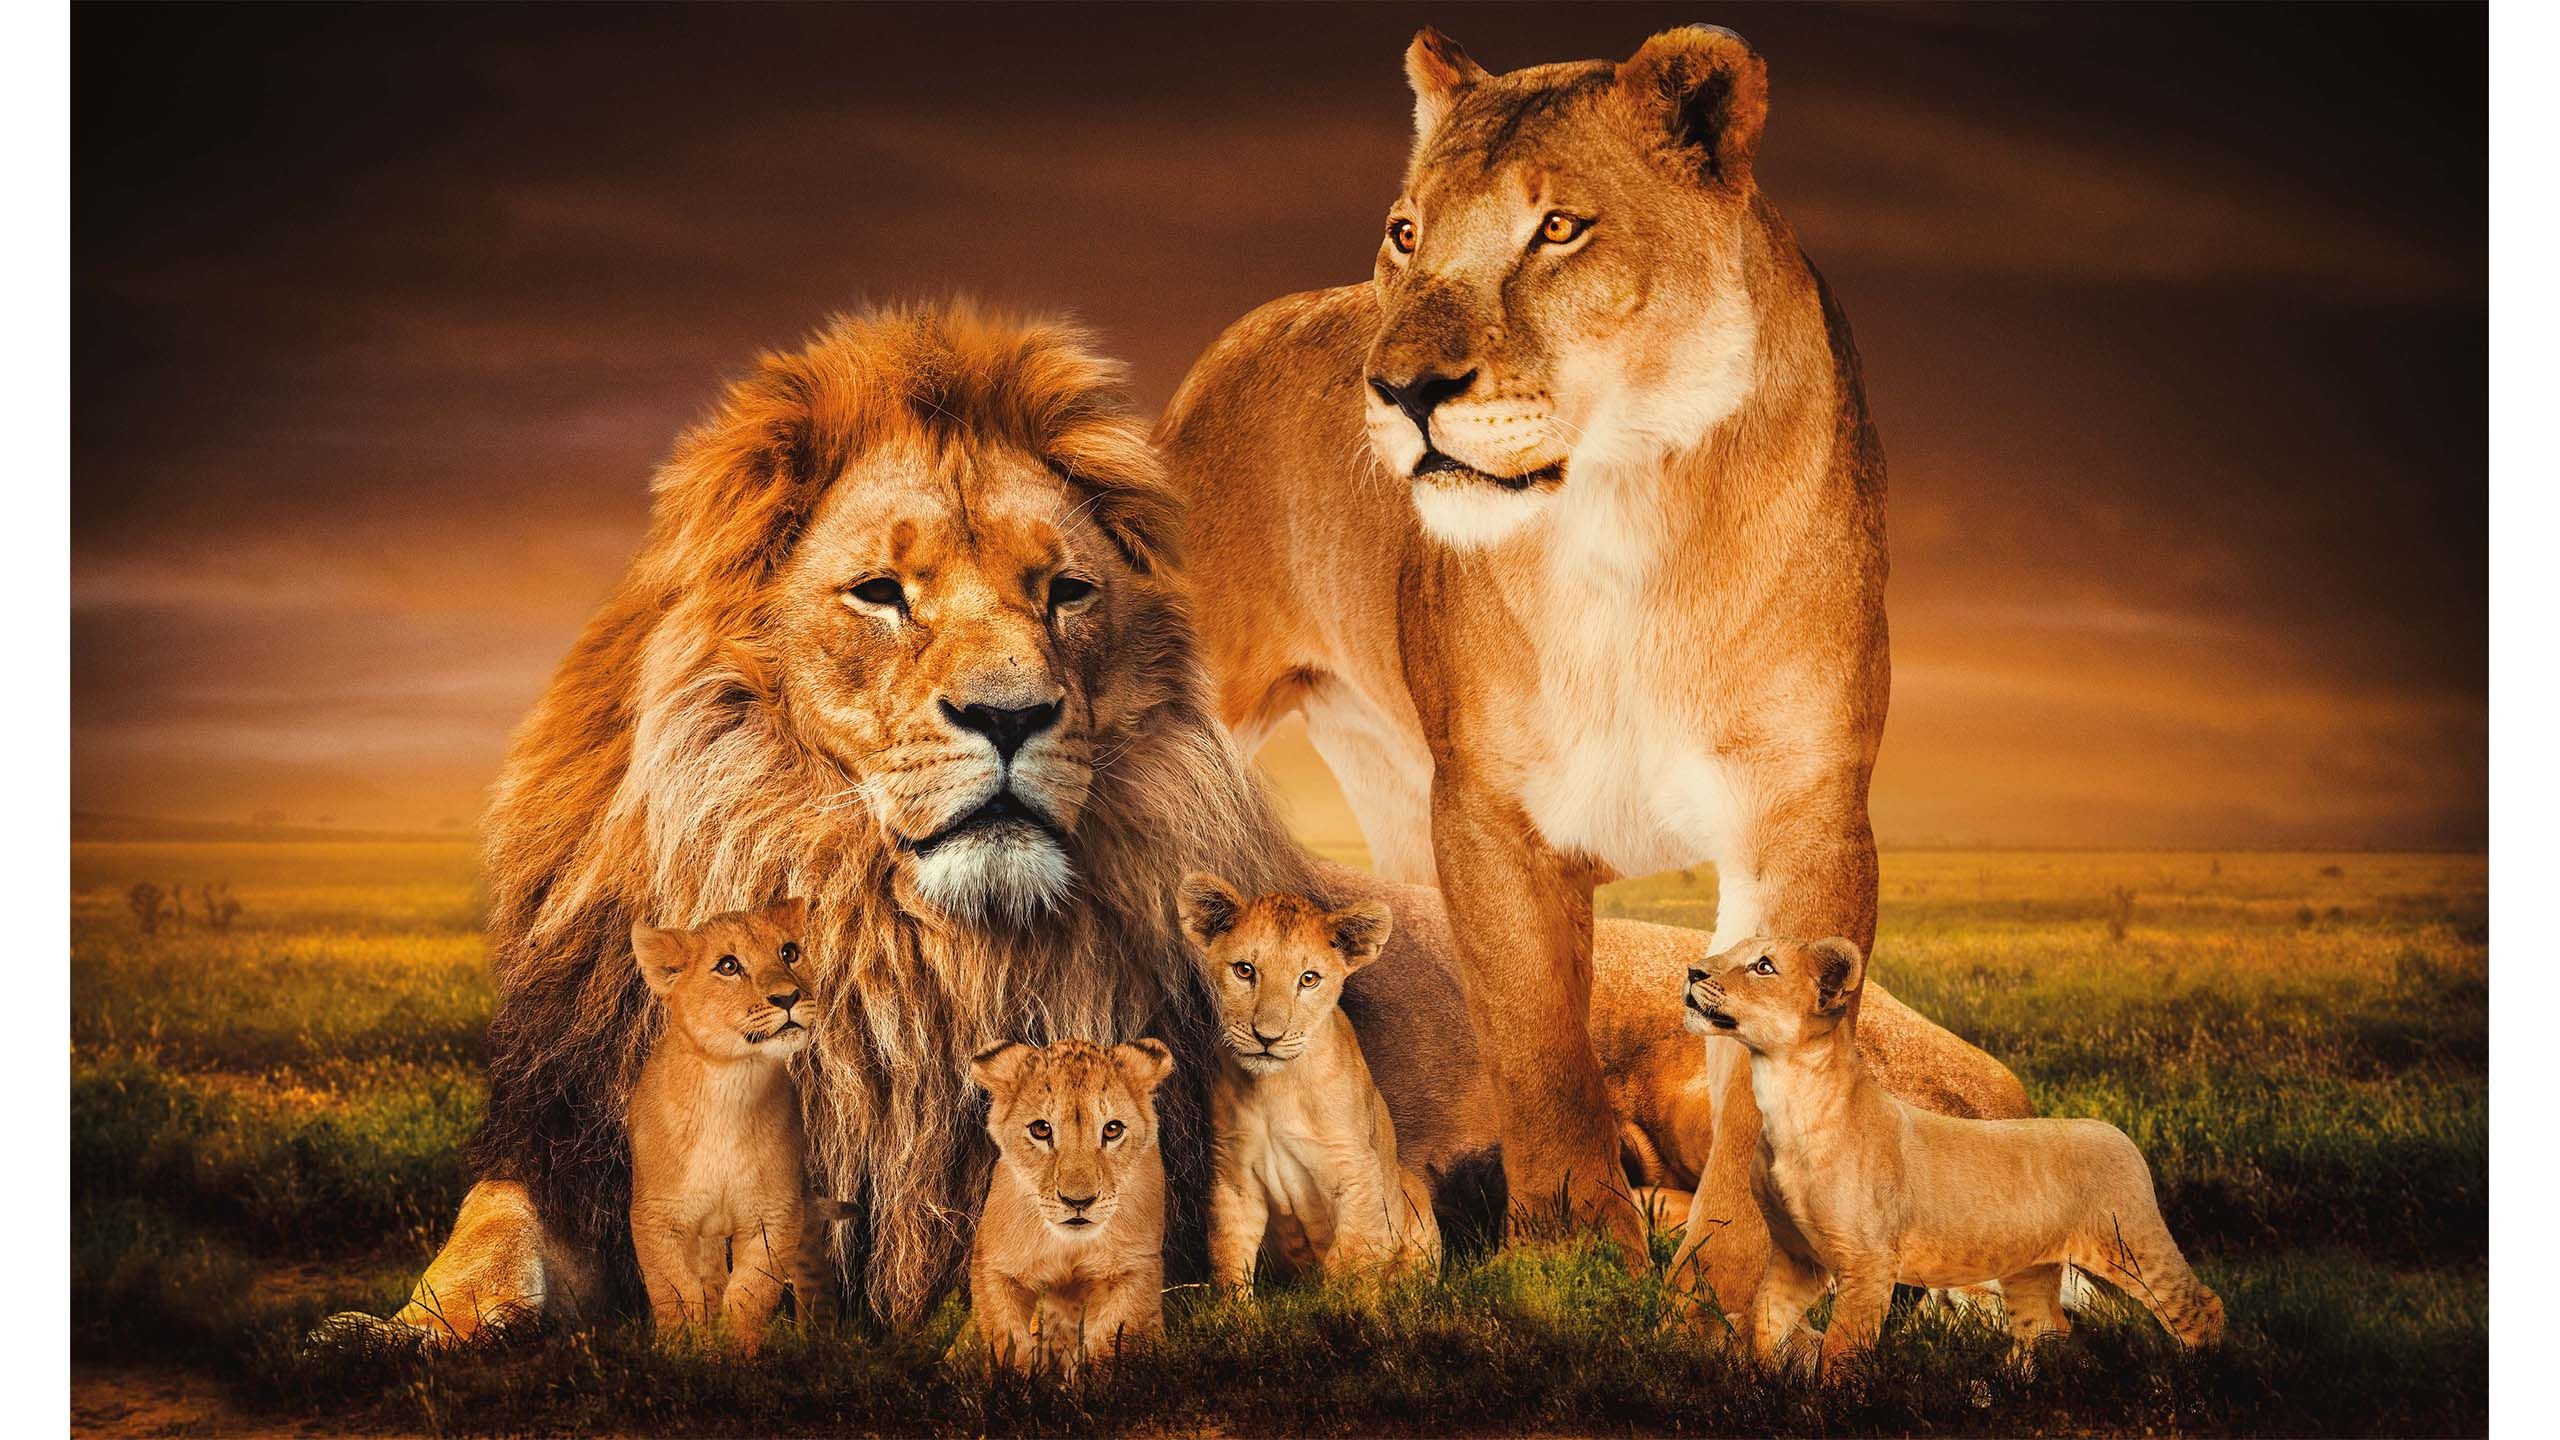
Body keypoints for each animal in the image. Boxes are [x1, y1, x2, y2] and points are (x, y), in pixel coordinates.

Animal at [964, 1038, 1172, 1374]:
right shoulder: (994, 1266)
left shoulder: (1136, 1266)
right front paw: (1013, 1383)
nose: (1079, 1201)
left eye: (1112, 1129)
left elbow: (1111, 1342)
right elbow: (1006, 1337)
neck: (1070, 1245)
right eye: (1041, 1129)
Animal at [1176, 873, 1440, 1287]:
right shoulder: (1233, 1174)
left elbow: (1352, 1262)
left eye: (1309, 979)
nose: (1268, 1037)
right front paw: (1233, 1303)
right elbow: (1229, 1255)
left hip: (1410, 1190)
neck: (1274, 1089)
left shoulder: (1357, 1169)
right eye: (1245, 970)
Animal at [1687, 938, 2223, 1376]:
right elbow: (1763, 1322)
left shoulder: (1868, 1263)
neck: (1783, 1095)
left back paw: (2194, 1386)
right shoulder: (1797, 1255)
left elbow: (1842, 1348)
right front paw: (1762, 1387)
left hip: (2130, 1245)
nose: (1692, 971)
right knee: (2045, 1325)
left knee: (2202, 1307)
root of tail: (2116, 1132)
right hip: (2029, 1268)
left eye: (1763, 966)